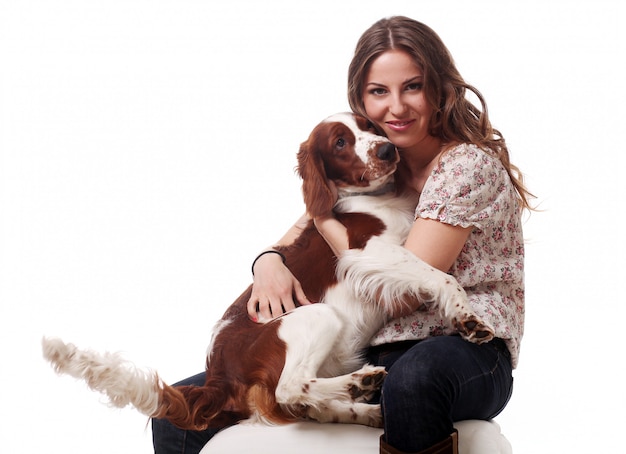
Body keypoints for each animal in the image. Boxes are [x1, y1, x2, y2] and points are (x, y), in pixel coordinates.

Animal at [44, 111, 492, 430]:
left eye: (368, 126)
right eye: (341, 142)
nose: (386, 151)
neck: (381, 197)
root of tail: (218, 376)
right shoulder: (366, 252)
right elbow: (442, 275)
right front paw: (467, 319)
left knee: (303, 404)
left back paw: (365, 410)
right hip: (316, 315)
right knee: (289, 389)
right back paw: (358, 385)